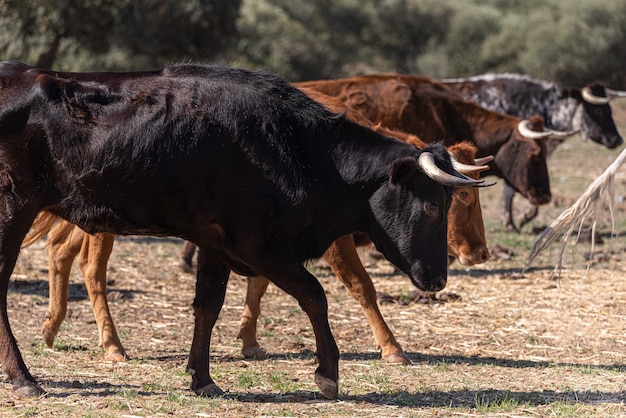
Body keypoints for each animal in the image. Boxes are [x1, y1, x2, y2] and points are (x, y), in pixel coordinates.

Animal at [0, 61, 482, 398]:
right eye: (432, 204)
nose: (437, 279)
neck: (297, 147)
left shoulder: (215, 244)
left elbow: (208, 307)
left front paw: (202, 378)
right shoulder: (260, 245)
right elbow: (314, 294)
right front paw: (328, 373)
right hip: (13, 212)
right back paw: (23, 377)